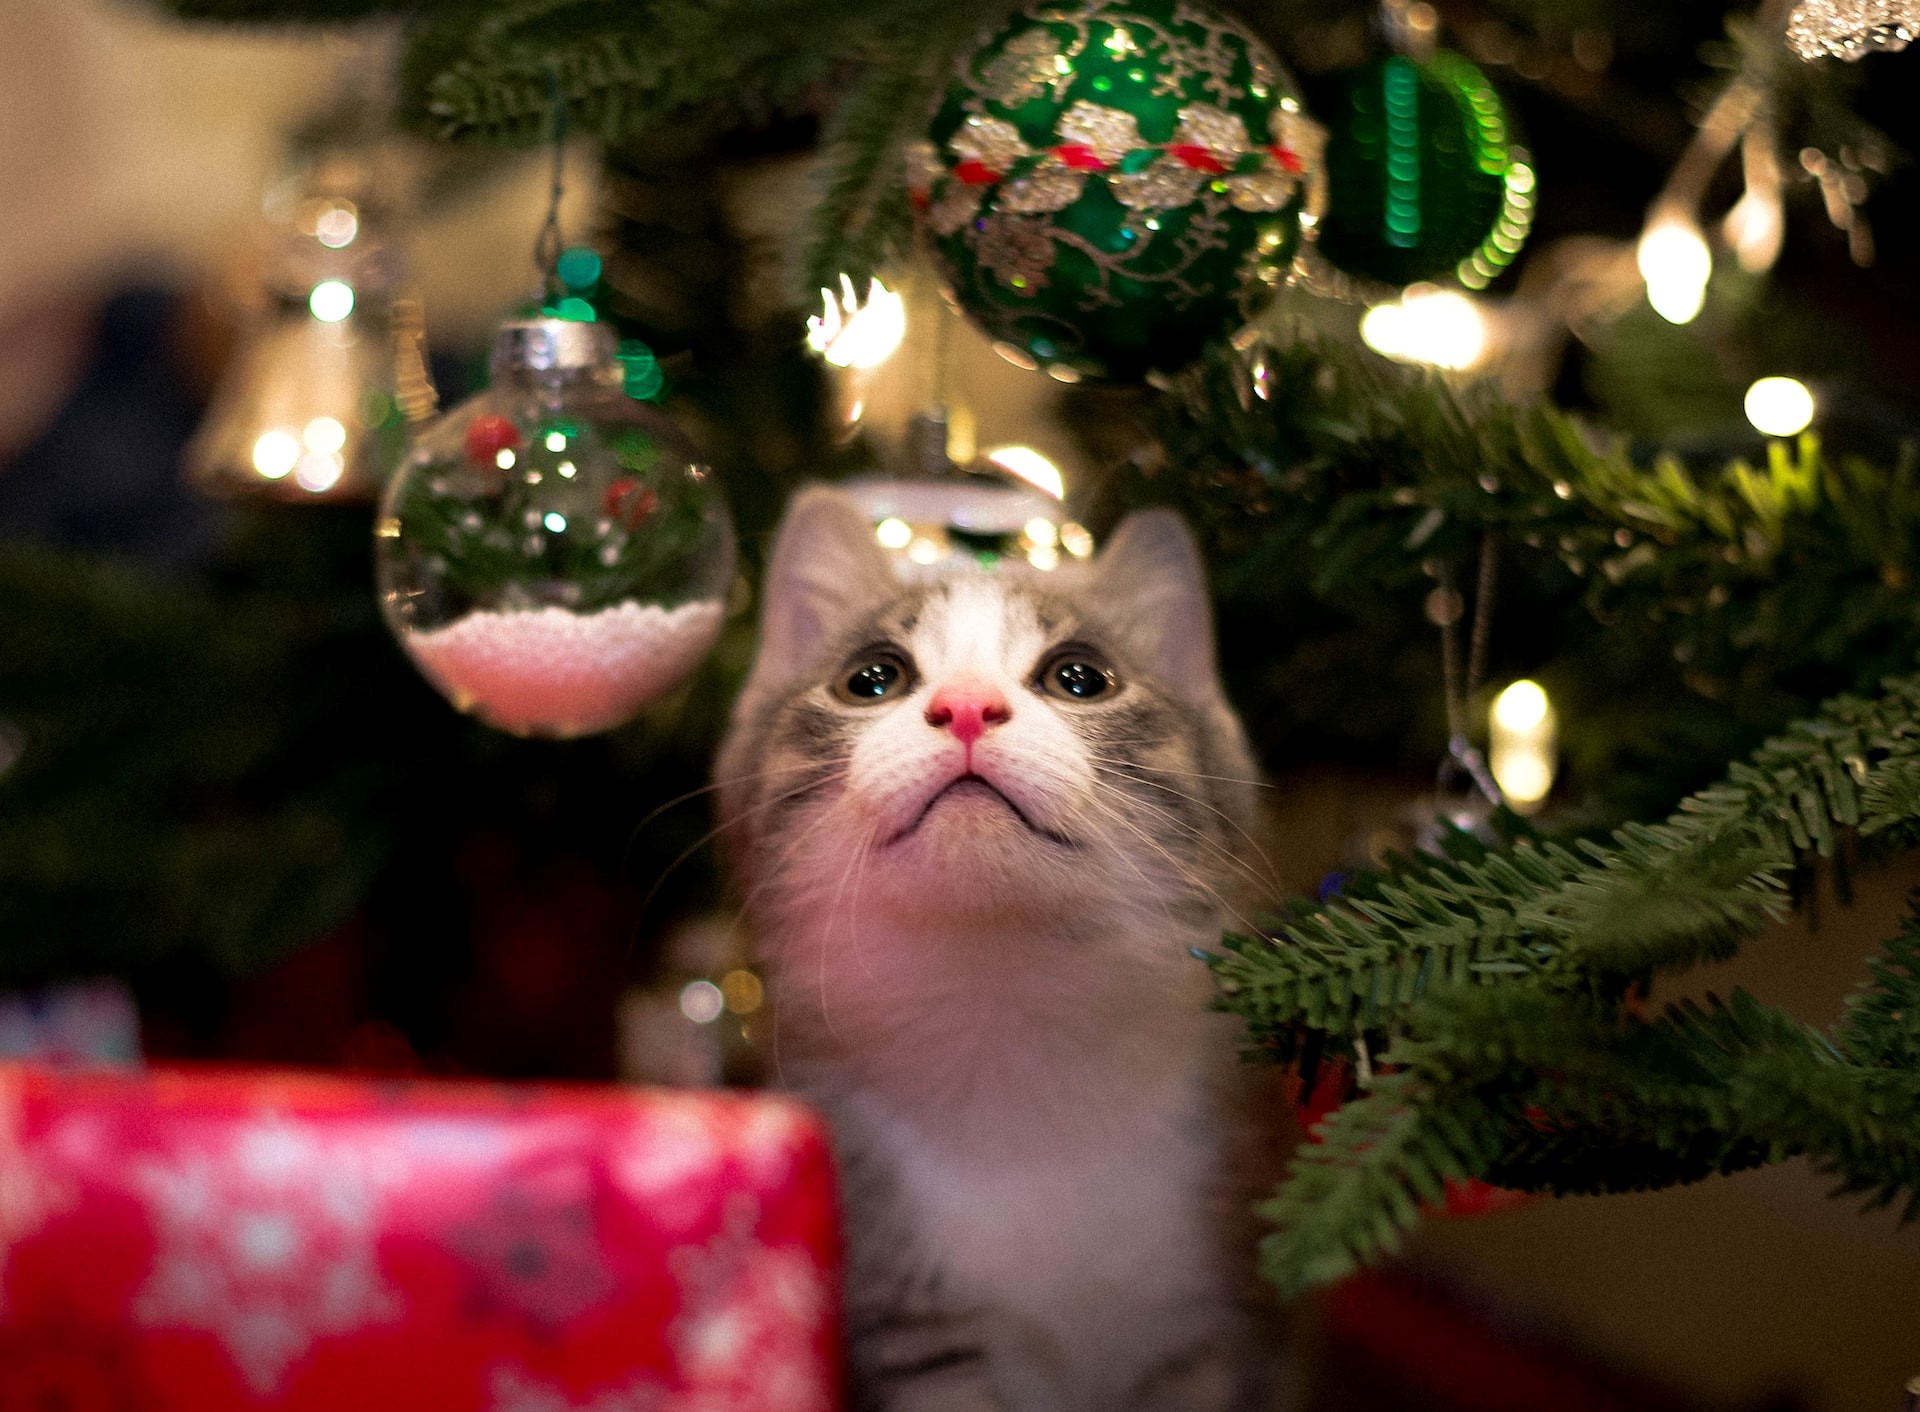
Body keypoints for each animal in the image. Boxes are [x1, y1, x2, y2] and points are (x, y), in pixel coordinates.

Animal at [721, 487, 1290, 1412]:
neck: (1006, 1011)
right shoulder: (909, 1328)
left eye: (1080, 677)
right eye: (872, 678)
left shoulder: (1216, 1324)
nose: (965, 706)